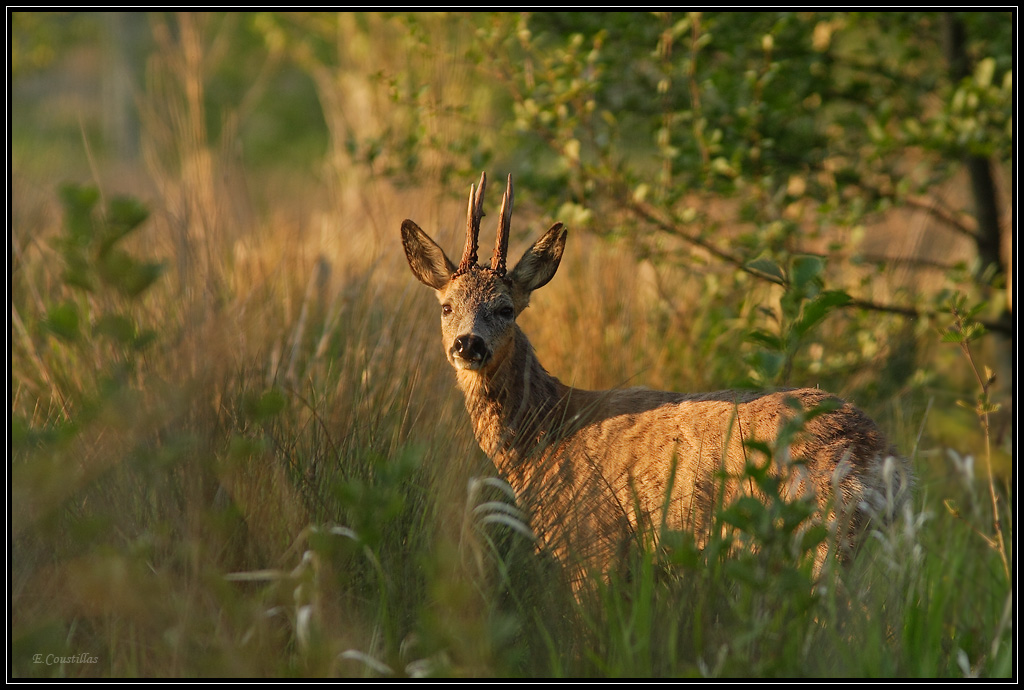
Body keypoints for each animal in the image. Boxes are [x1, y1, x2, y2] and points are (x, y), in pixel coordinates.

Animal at [399, 171, 913, 581]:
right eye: (446, 307)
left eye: (506, 308)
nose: (468, 344)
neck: (545, 435)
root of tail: (887, 465)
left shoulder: (595, 540)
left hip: (820, 534)